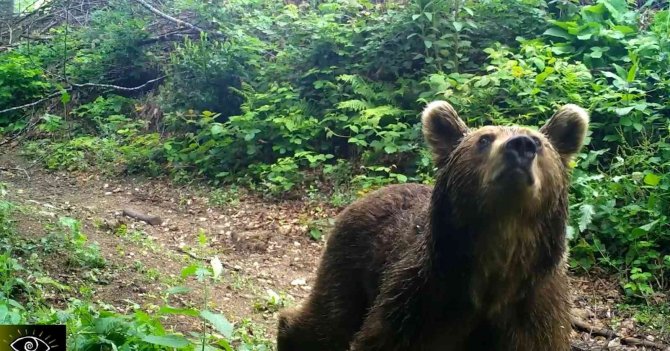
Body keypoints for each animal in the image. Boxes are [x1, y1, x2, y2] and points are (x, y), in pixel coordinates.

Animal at [276, 100, 592, 350]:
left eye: (538, 142)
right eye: (485, 139)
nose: (521, 146)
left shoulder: (533, 311)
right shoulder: (424, 301)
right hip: (351, 261)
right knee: (327, 322)